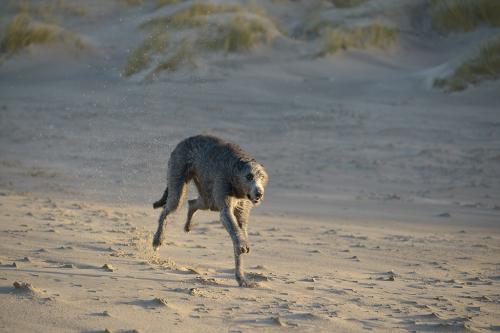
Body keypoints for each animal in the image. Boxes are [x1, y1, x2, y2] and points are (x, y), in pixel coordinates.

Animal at [152, 134, 270, 286]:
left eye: (262, 177)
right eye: (249, 176)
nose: (259, 194)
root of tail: (185, 140)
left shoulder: (242, 208)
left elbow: (240, 229)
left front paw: (241, 278)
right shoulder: (224, 199)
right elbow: (232, 225)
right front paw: (242, 245)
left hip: (207, 196)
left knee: (193, 203)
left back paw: (188, 225)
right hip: (178, 174)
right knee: (167, 209)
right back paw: (157, 239)